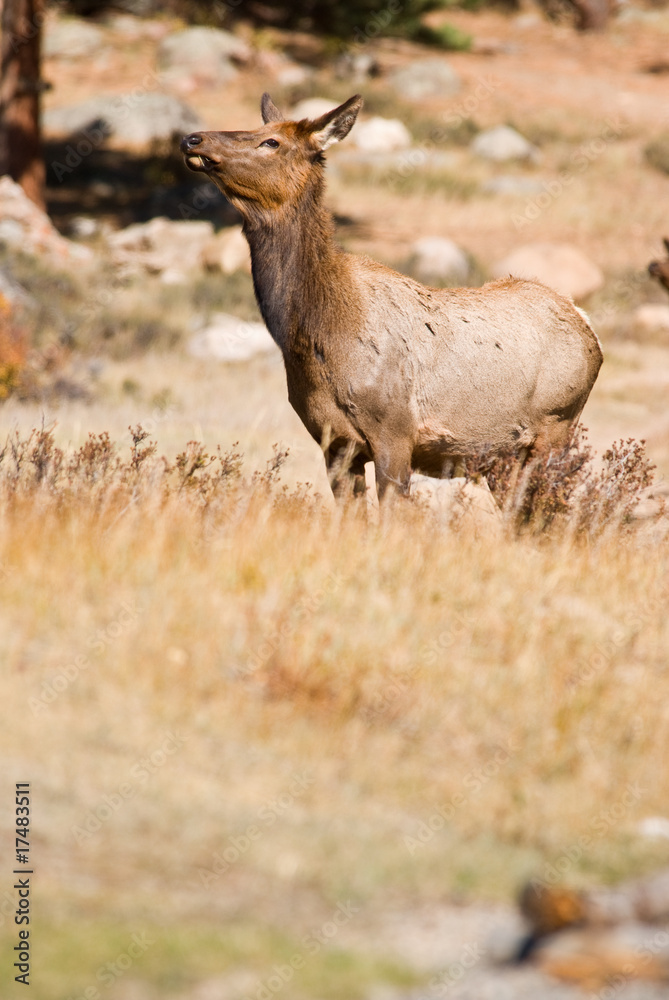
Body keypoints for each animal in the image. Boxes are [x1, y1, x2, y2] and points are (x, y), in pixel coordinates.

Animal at [181, 94, 603, 500]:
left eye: (272, 141)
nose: (192, 138)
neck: (318, 336)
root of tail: (587, 327)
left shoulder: (396, 433)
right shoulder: (333, 443)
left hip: (555, 426)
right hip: (503, 457)